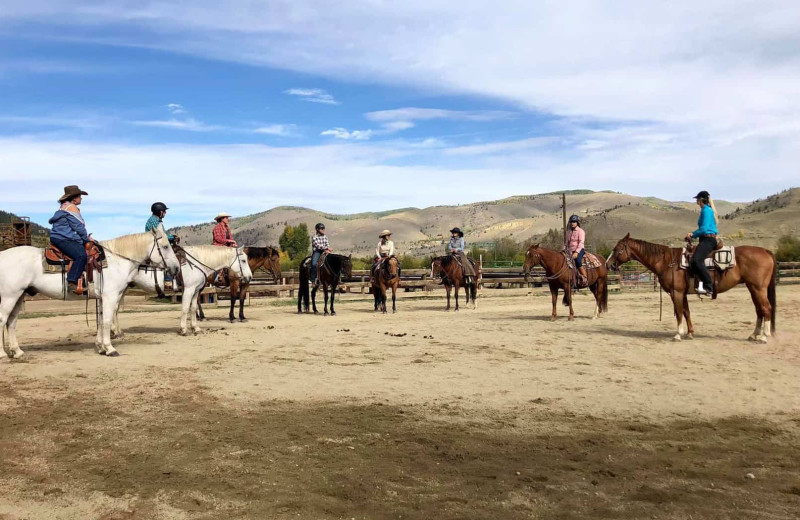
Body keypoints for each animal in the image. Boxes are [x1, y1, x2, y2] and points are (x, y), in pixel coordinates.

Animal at [0, 223, 180, 358]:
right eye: (165, 246)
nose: (176, 268)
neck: (116, 260)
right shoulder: (110, 297)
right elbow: (106, 321)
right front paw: (110, 348)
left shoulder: (101, 298)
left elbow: (100, 321)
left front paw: (101, 347)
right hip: (10, 296)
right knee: (3, 320)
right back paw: (3, 354)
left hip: (19, 296)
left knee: (12, 322)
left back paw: (17, 352)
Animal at [114, 247, 252, 338]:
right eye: (243, 260)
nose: (249, 277)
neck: (195, 264)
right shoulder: (189, 289)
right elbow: (185, 308)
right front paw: (184, 330)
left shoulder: (195, 291)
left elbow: (193, 308)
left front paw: (196, 328)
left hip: (123, 289)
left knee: (115, 308)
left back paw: (117, 332)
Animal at [608, 235, 776, 342]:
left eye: (617, 249)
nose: (608, 264)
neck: (667, 262)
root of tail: (766, 251)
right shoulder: (682, 293)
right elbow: (686, 312)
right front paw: (689, 333)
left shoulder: (676, 293)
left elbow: (679, 312)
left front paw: (678, 334)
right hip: (752, 288)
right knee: (759, 310)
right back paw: (754, 335)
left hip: (758, 288)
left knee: (766, 308)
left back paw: (764, 336)